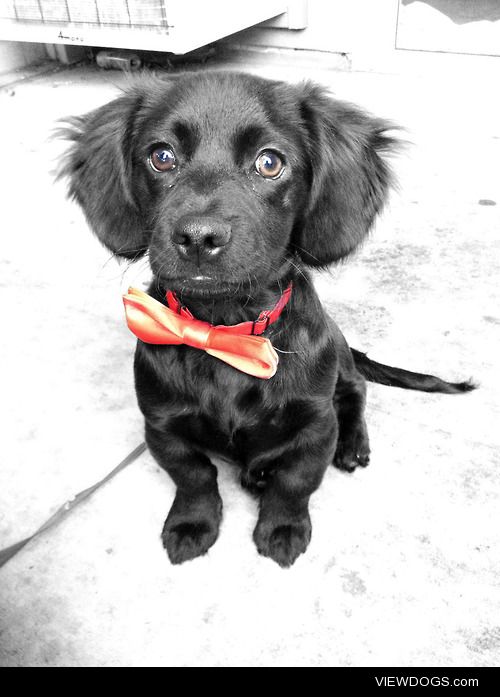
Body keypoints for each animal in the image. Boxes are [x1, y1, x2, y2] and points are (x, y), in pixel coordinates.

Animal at [58, 72, 472, 564]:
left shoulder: (315, 427)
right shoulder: (160, 425)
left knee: (356, 389)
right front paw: (191, 523)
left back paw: (353, 443)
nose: (198, 237)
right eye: (161, 156)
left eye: (269, 162)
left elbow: (294, 483)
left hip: (339, 361)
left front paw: (282, 528)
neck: (224, 332)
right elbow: (194, 476)